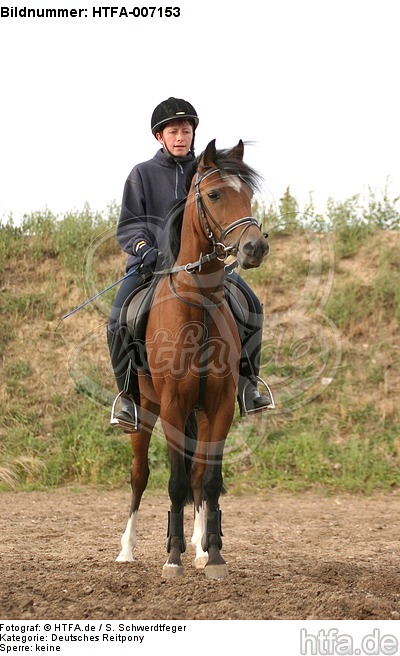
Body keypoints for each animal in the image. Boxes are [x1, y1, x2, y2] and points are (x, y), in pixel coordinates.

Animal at [116, 139, 269, 579]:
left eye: (248, 194)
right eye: (214, 195)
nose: (254, 247)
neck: (197, 305)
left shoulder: (218, 406)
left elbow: (209, 480)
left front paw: (213, 555)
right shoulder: (172, 405)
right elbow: (175, 482)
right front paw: (172, 558)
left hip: (198, 415)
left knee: (199, 475)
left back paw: (199, 548)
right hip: (145, 411)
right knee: (140, 475)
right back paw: (127, 549)